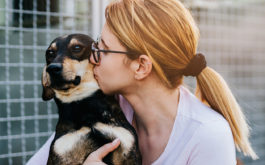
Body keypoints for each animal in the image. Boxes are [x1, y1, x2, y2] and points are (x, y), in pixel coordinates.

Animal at [41, 33, 140, 165]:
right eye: (50, 53)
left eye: (77, 47)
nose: (52, 68)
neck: (84, 106)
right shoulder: (62, 152)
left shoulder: (127, 148)